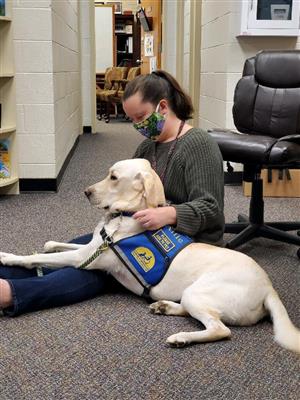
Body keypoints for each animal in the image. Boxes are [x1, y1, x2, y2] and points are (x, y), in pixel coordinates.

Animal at [0, 159, 300, 354]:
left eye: (113, 177)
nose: (86, 192)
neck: (126, 215)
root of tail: (269, 287)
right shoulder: (91, 247)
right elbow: (58, 246)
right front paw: (48, 244)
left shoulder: (88, 258)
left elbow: (33, 258)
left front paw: (7, 257)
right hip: (193, 295)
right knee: (201, 313)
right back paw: (164, 307)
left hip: (201, 292)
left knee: (220, 329)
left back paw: (181, 338)